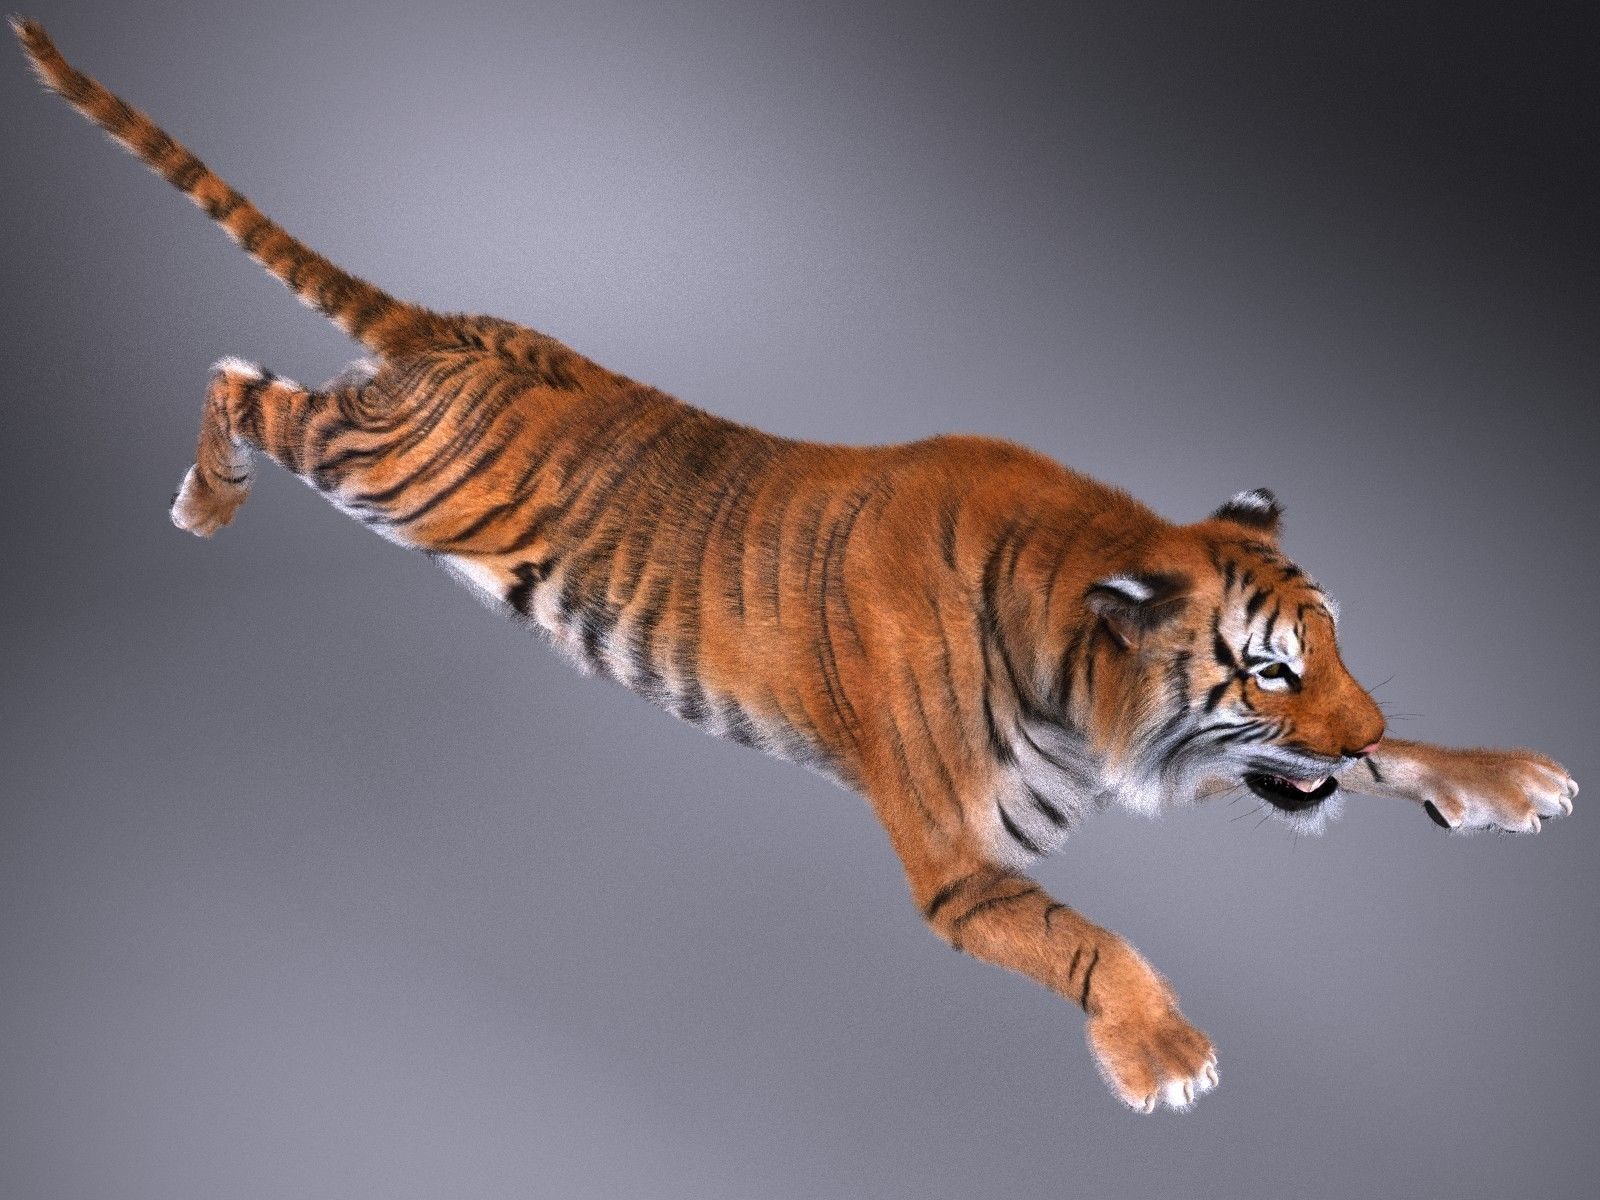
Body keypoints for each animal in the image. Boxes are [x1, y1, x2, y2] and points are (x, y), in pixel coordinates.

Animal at [14, 18, 1579, 1113]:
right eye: (1266, 671)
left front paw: (1509, 776)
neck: (1077, 616)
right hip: (384, 474)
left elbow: (1391, 760)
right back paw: (203, 505)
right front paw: (1166, 1053)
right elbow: (1098, 940)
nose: (1346, 726)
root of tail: (453, 326)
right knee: (245, 383)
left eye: (1337, 652)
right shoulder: (964, 864)